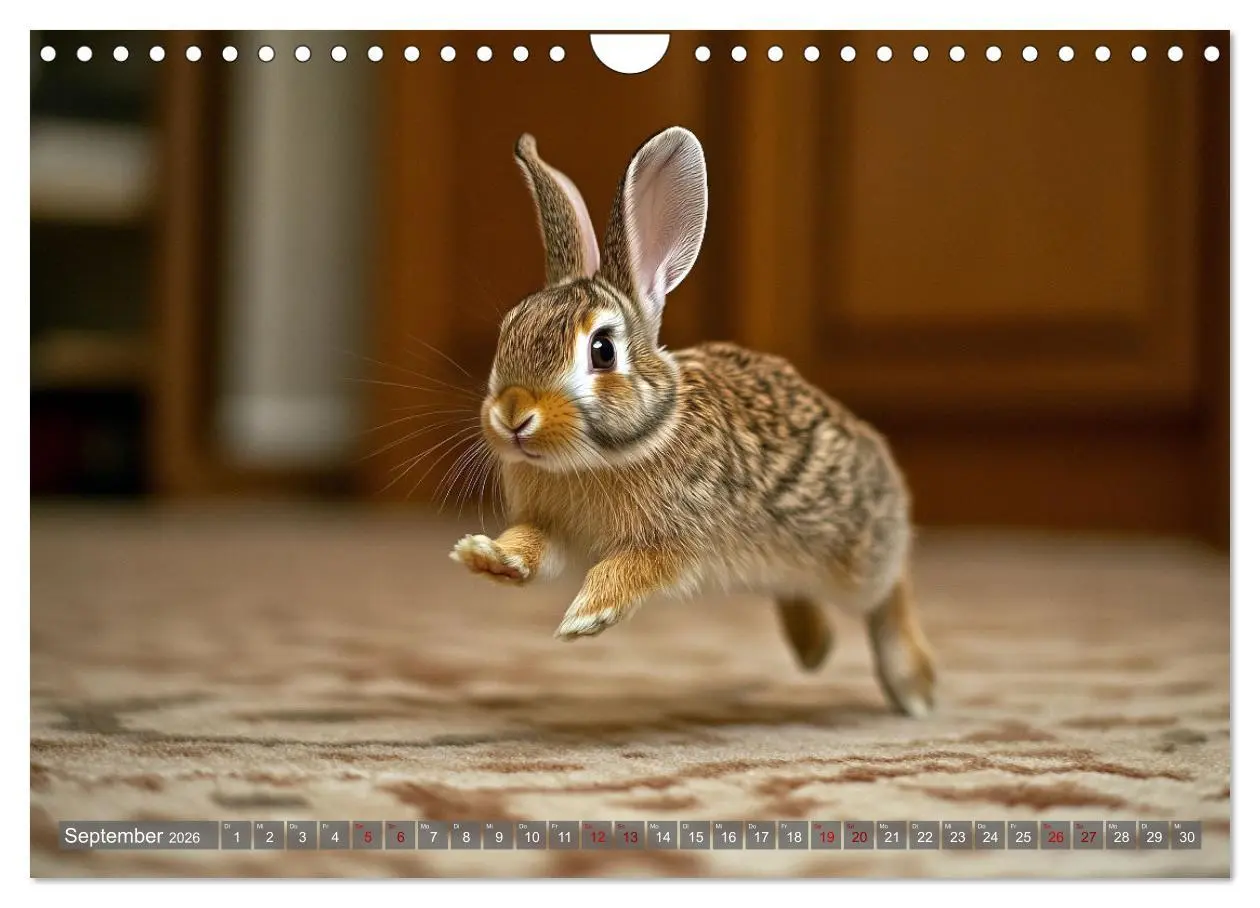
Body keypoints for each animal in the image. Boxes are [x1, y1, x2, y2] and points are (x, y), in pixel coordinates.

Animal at [450, 127, 936, 717]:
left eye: (602, 350)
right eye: (508, 332)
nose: (513, 415)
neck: (603, 455)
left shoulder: (682, 539)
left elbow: (633, 569)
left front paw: (586, 616)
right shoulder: (554, 529)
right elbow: (532, 545)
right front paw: (490, 557)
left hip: (856, 555)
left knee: (892, 586)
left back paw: (915, 685)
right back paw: (813, 648)